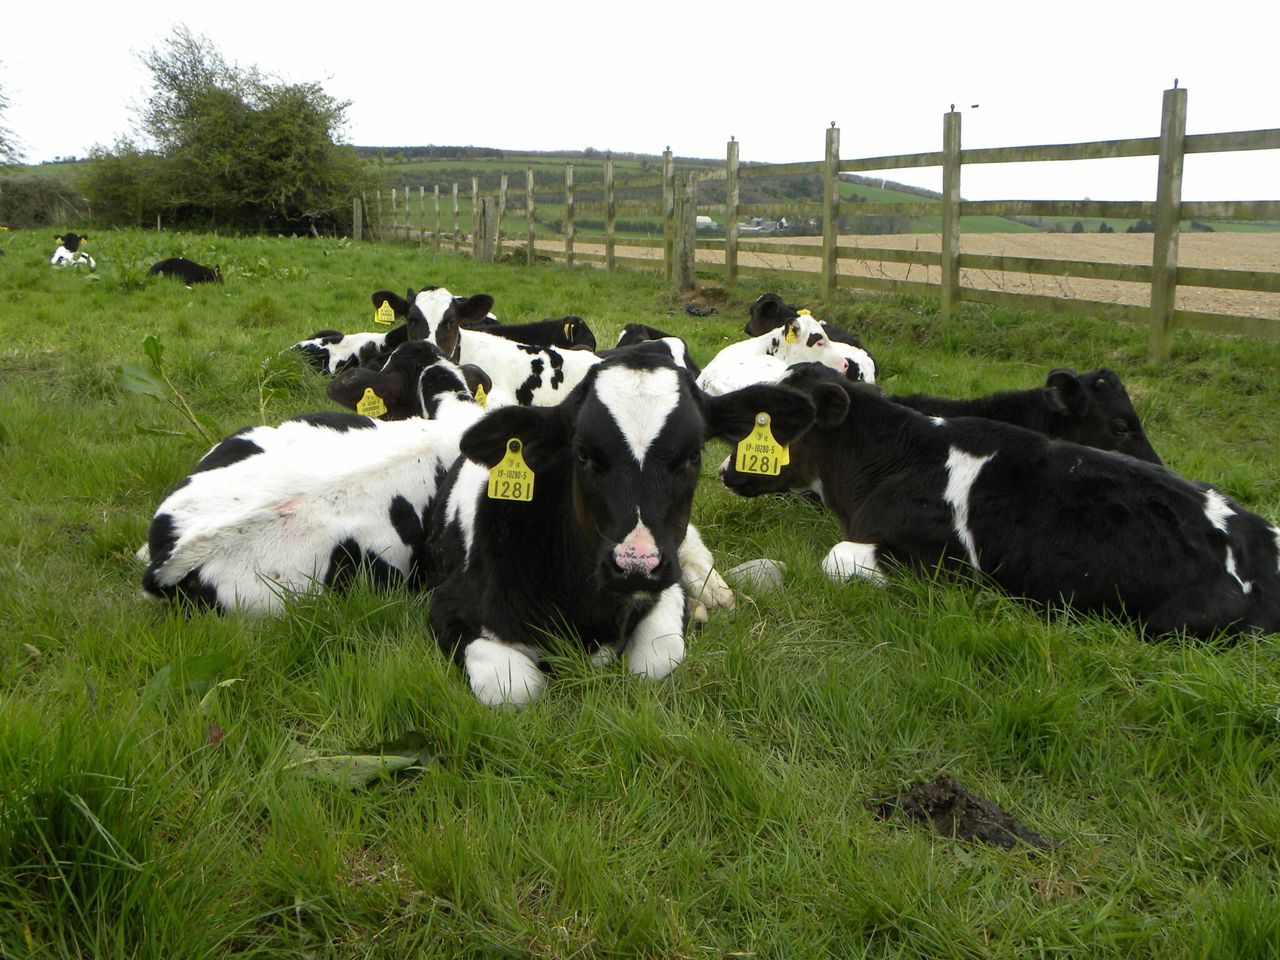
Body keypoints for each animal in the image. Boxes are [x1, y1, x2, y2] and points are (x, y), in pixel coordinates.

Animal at [424, 351, 818, 706]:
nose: (636, 565)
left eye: (693, 455)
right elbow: (515, 689)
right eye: (582, 453)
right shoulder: (449, 607)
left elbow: (656, 661)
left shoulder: (665, 584)